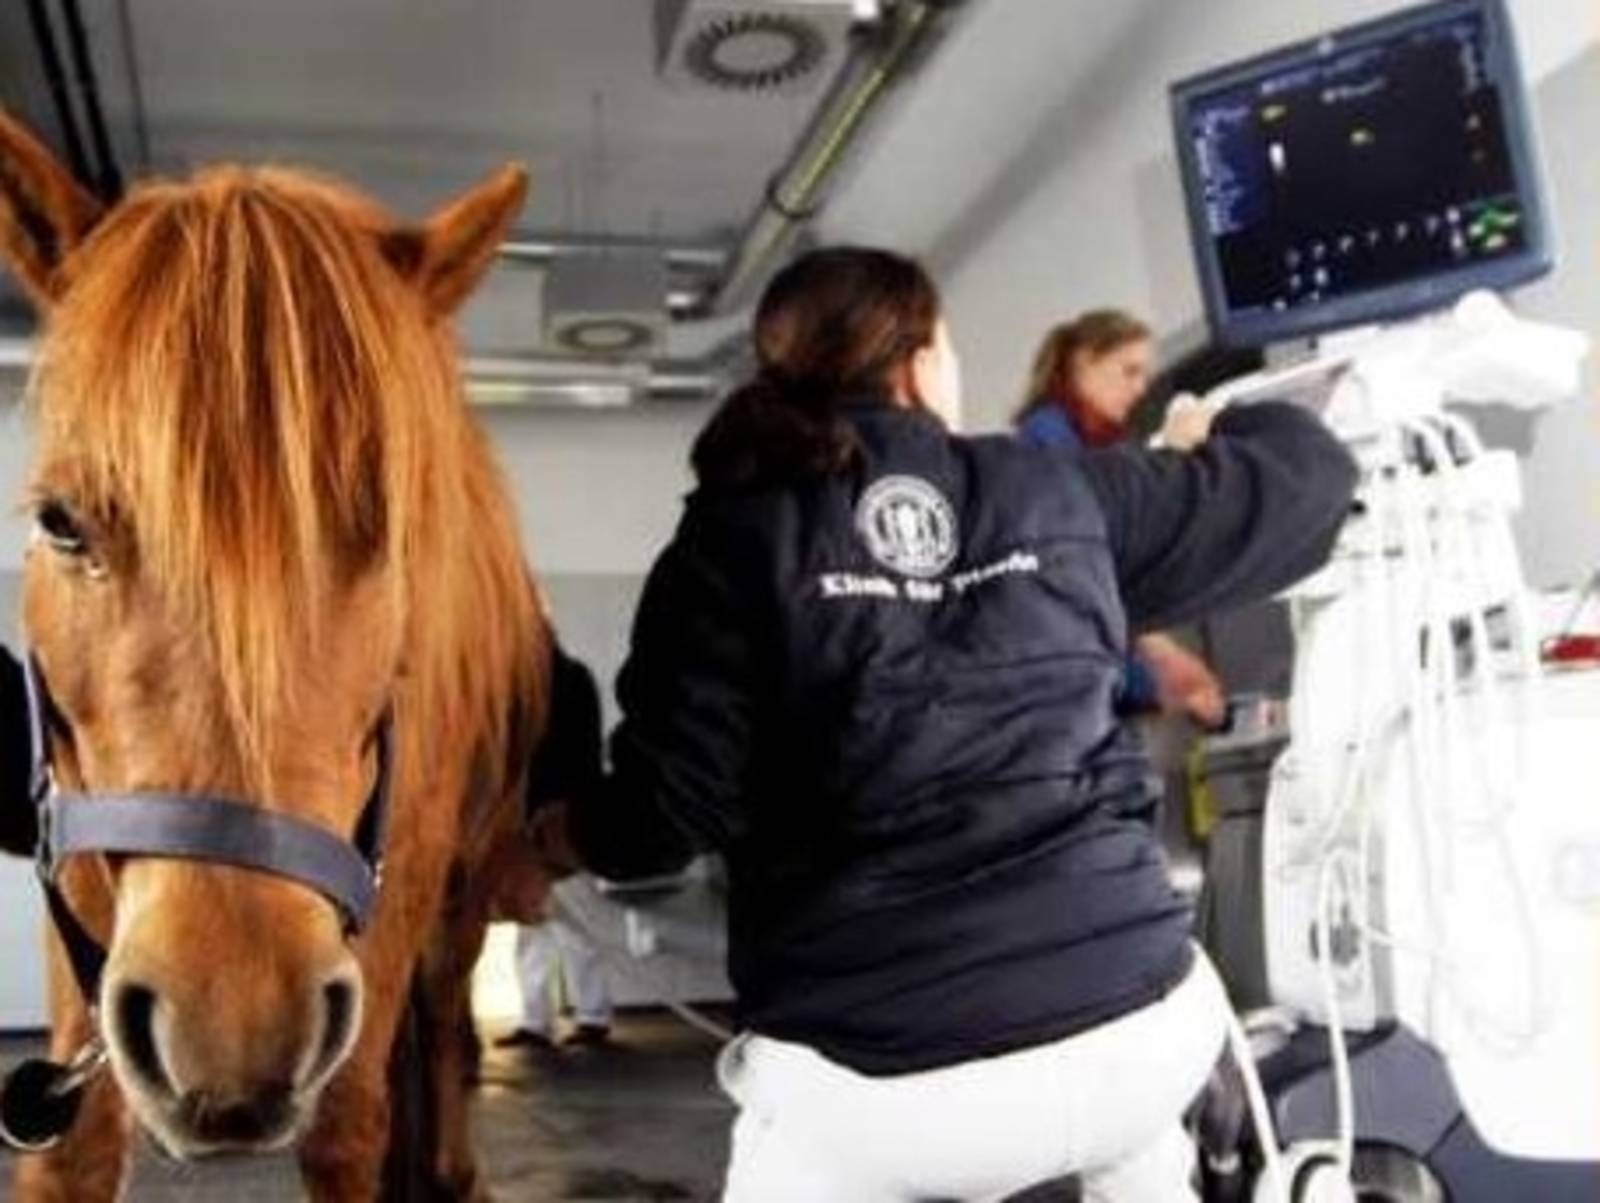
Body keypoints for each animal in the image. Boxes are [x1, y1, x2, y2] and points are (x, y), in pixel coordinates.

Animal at [0, 107, 556, 1196]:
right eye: (60, 522)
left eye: (391, 534)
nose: (231, 1023)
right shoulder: (75, 854)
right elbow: (70, 1146)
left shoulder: (399, 875)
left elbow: (351, 1123)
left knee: (440, 1024)